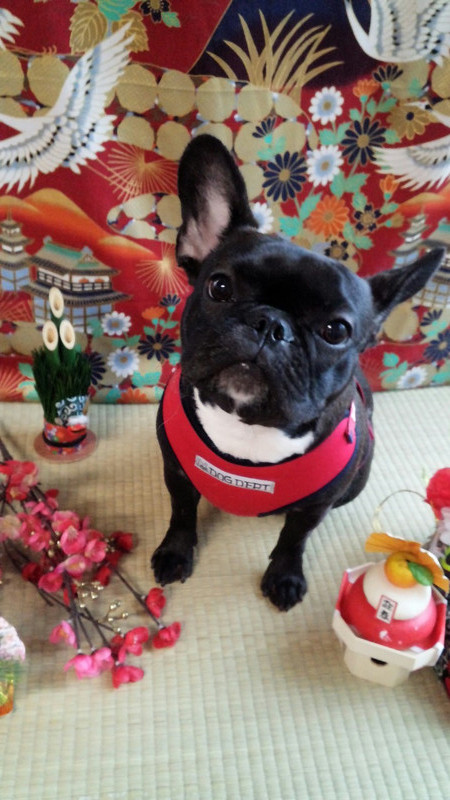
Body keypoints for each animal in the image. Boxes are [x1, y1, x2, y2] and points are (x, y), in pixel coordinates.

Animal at [151, 134, 444, 611]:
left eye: (336, 330)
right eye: (219, 286)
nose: (271, 325)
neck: (247, 427)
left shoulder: (315, 506)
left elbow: (294, 537)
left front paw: (284, 578)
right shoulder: (176, 471)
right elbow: (181, 514)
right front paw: (175, 554)